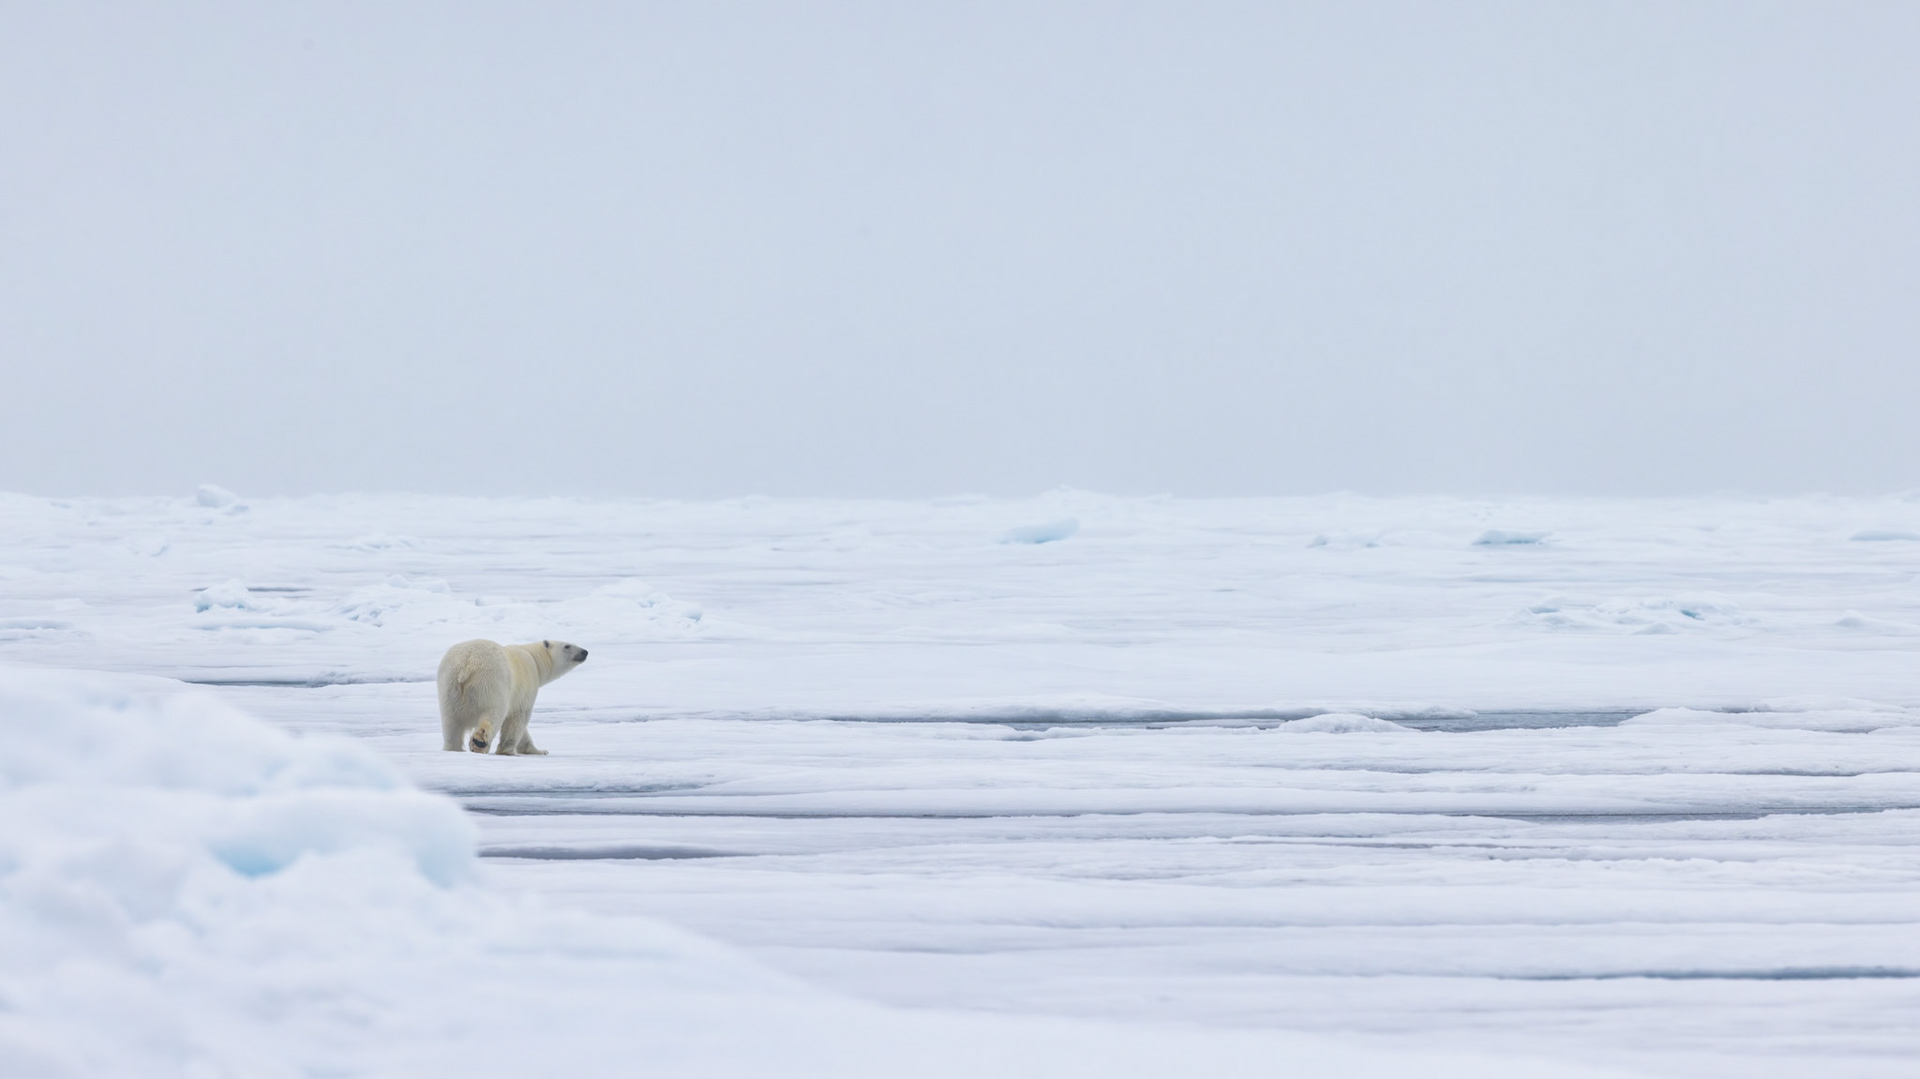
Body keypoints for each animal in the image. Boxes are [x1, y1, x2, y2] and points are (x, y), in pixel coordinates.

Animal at [437, 638, 588, 755]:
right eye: (567, 646)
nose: (585, 652)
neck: (534, 657)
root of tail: (466, 664)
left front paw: (539, 751)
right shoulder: (526, 685)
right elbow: (518, 718)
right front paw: (509, 751)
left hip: (448, 686)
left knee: (450, 722)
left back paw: (454, 748)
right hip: (490, 684)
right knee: (493, 713)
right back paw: (480, 743)